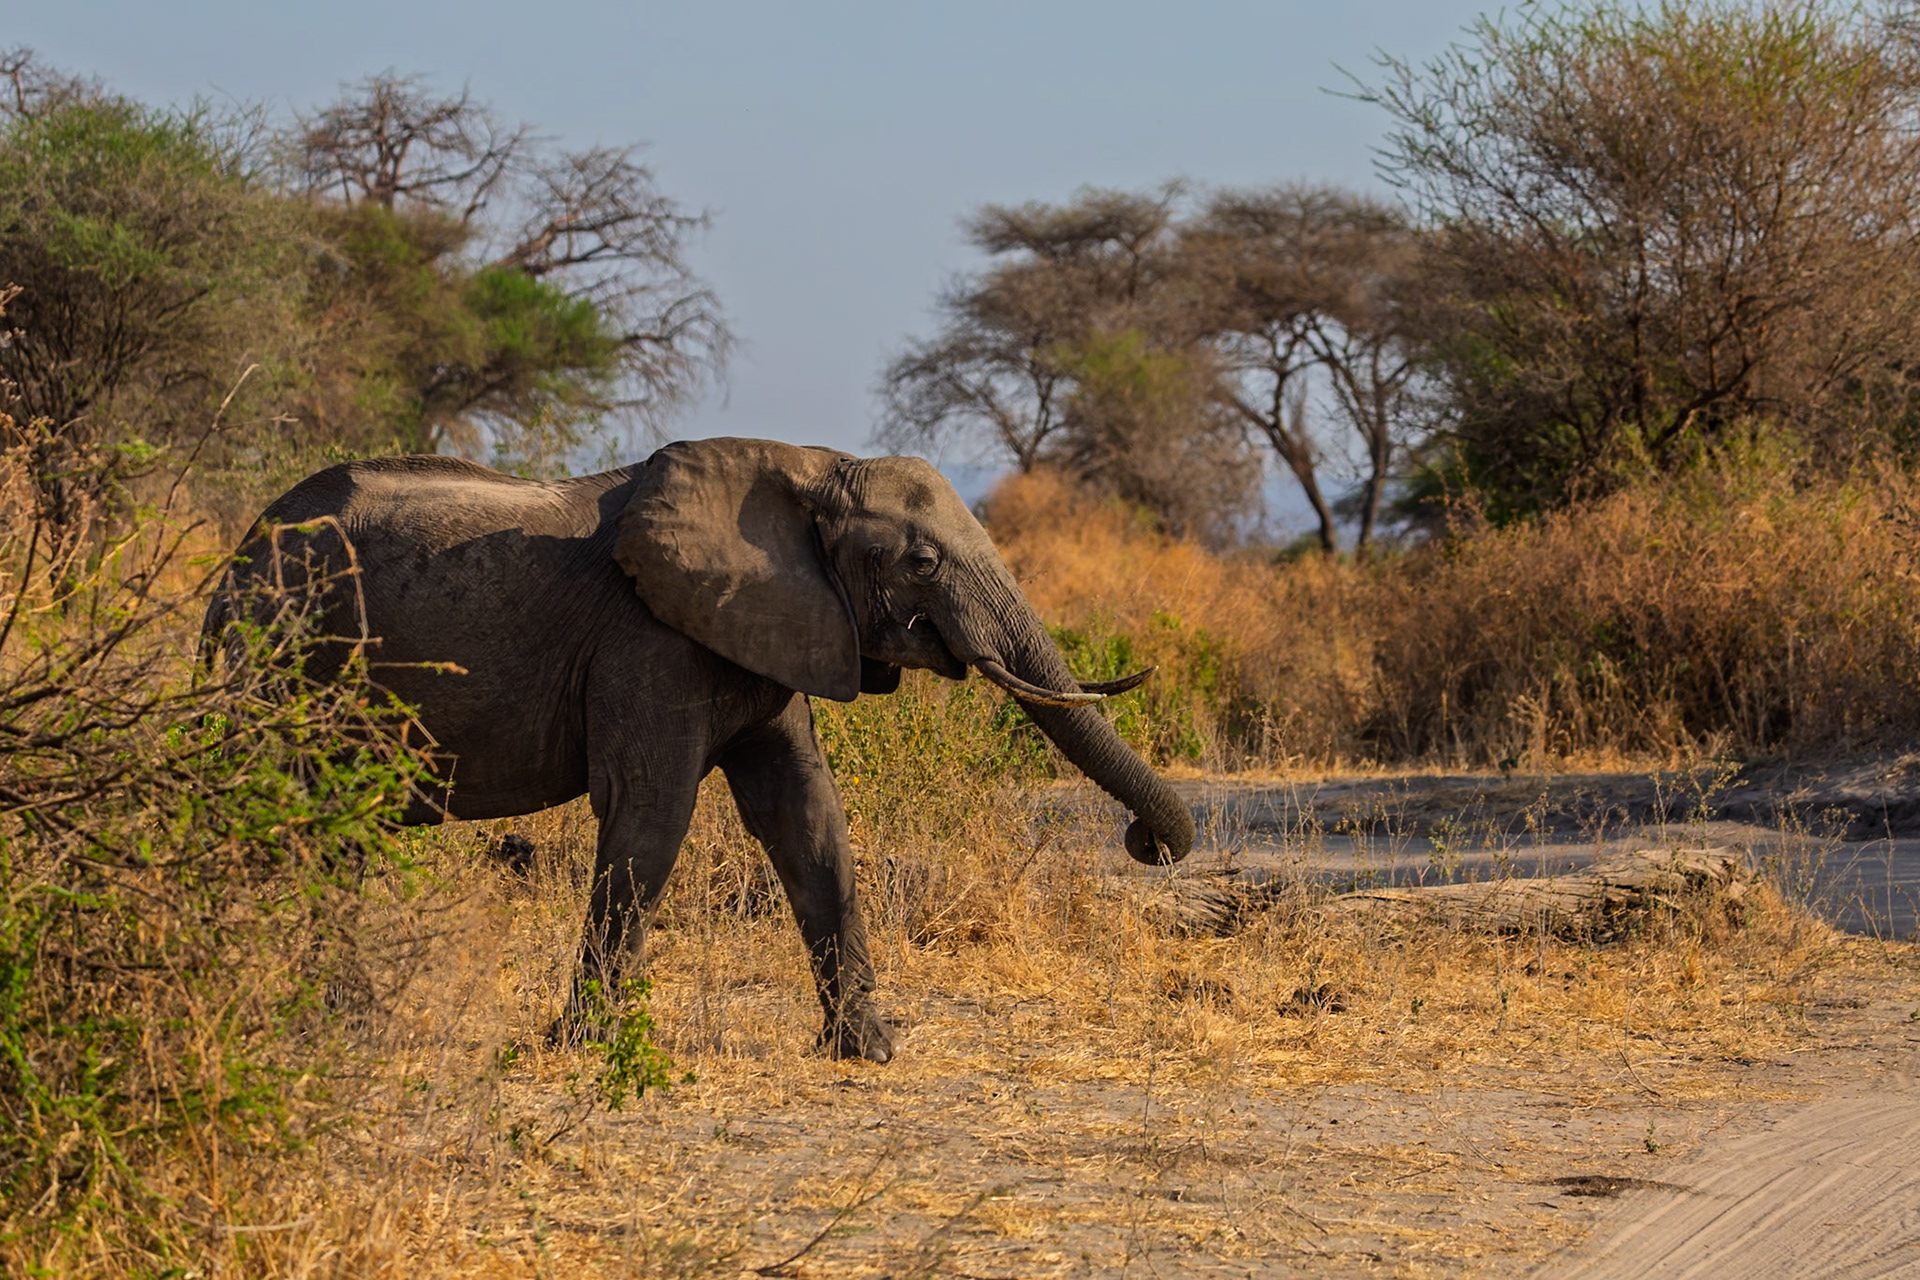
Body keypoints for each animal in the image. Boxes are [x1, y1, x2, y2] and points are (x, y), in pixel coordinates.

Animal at [207, 437, 1196, 1060]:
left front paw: (868, 1051)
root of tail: (235, 560)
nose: (1145, 842)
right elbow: (653, 810)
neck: (806, 470)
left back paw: (330, 1013)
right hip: (275, 655)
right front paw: (583, 1047)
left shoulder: (774, 624)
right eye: (921, 564)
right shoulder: (649, 637)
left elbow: (808, 816)